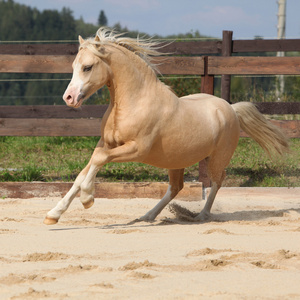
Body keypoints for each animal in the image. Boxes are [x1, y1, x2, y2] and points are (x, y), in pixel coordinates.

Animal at [43, 28, 288, 225]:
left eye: (87, 67)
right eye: (73, 66)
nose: (69, 98)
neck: (134, 102)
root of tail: (231, 109)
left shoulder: (136, 149)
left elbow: (98, 160)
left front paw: (87, 199)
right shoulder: (106, 143)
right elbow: (84, 171)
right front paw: (53, 214)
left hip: (217, 158)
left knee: (217, 181)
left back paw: (201, 216)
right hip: (176, 160)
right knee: (176, 186)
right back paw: (148, 216)